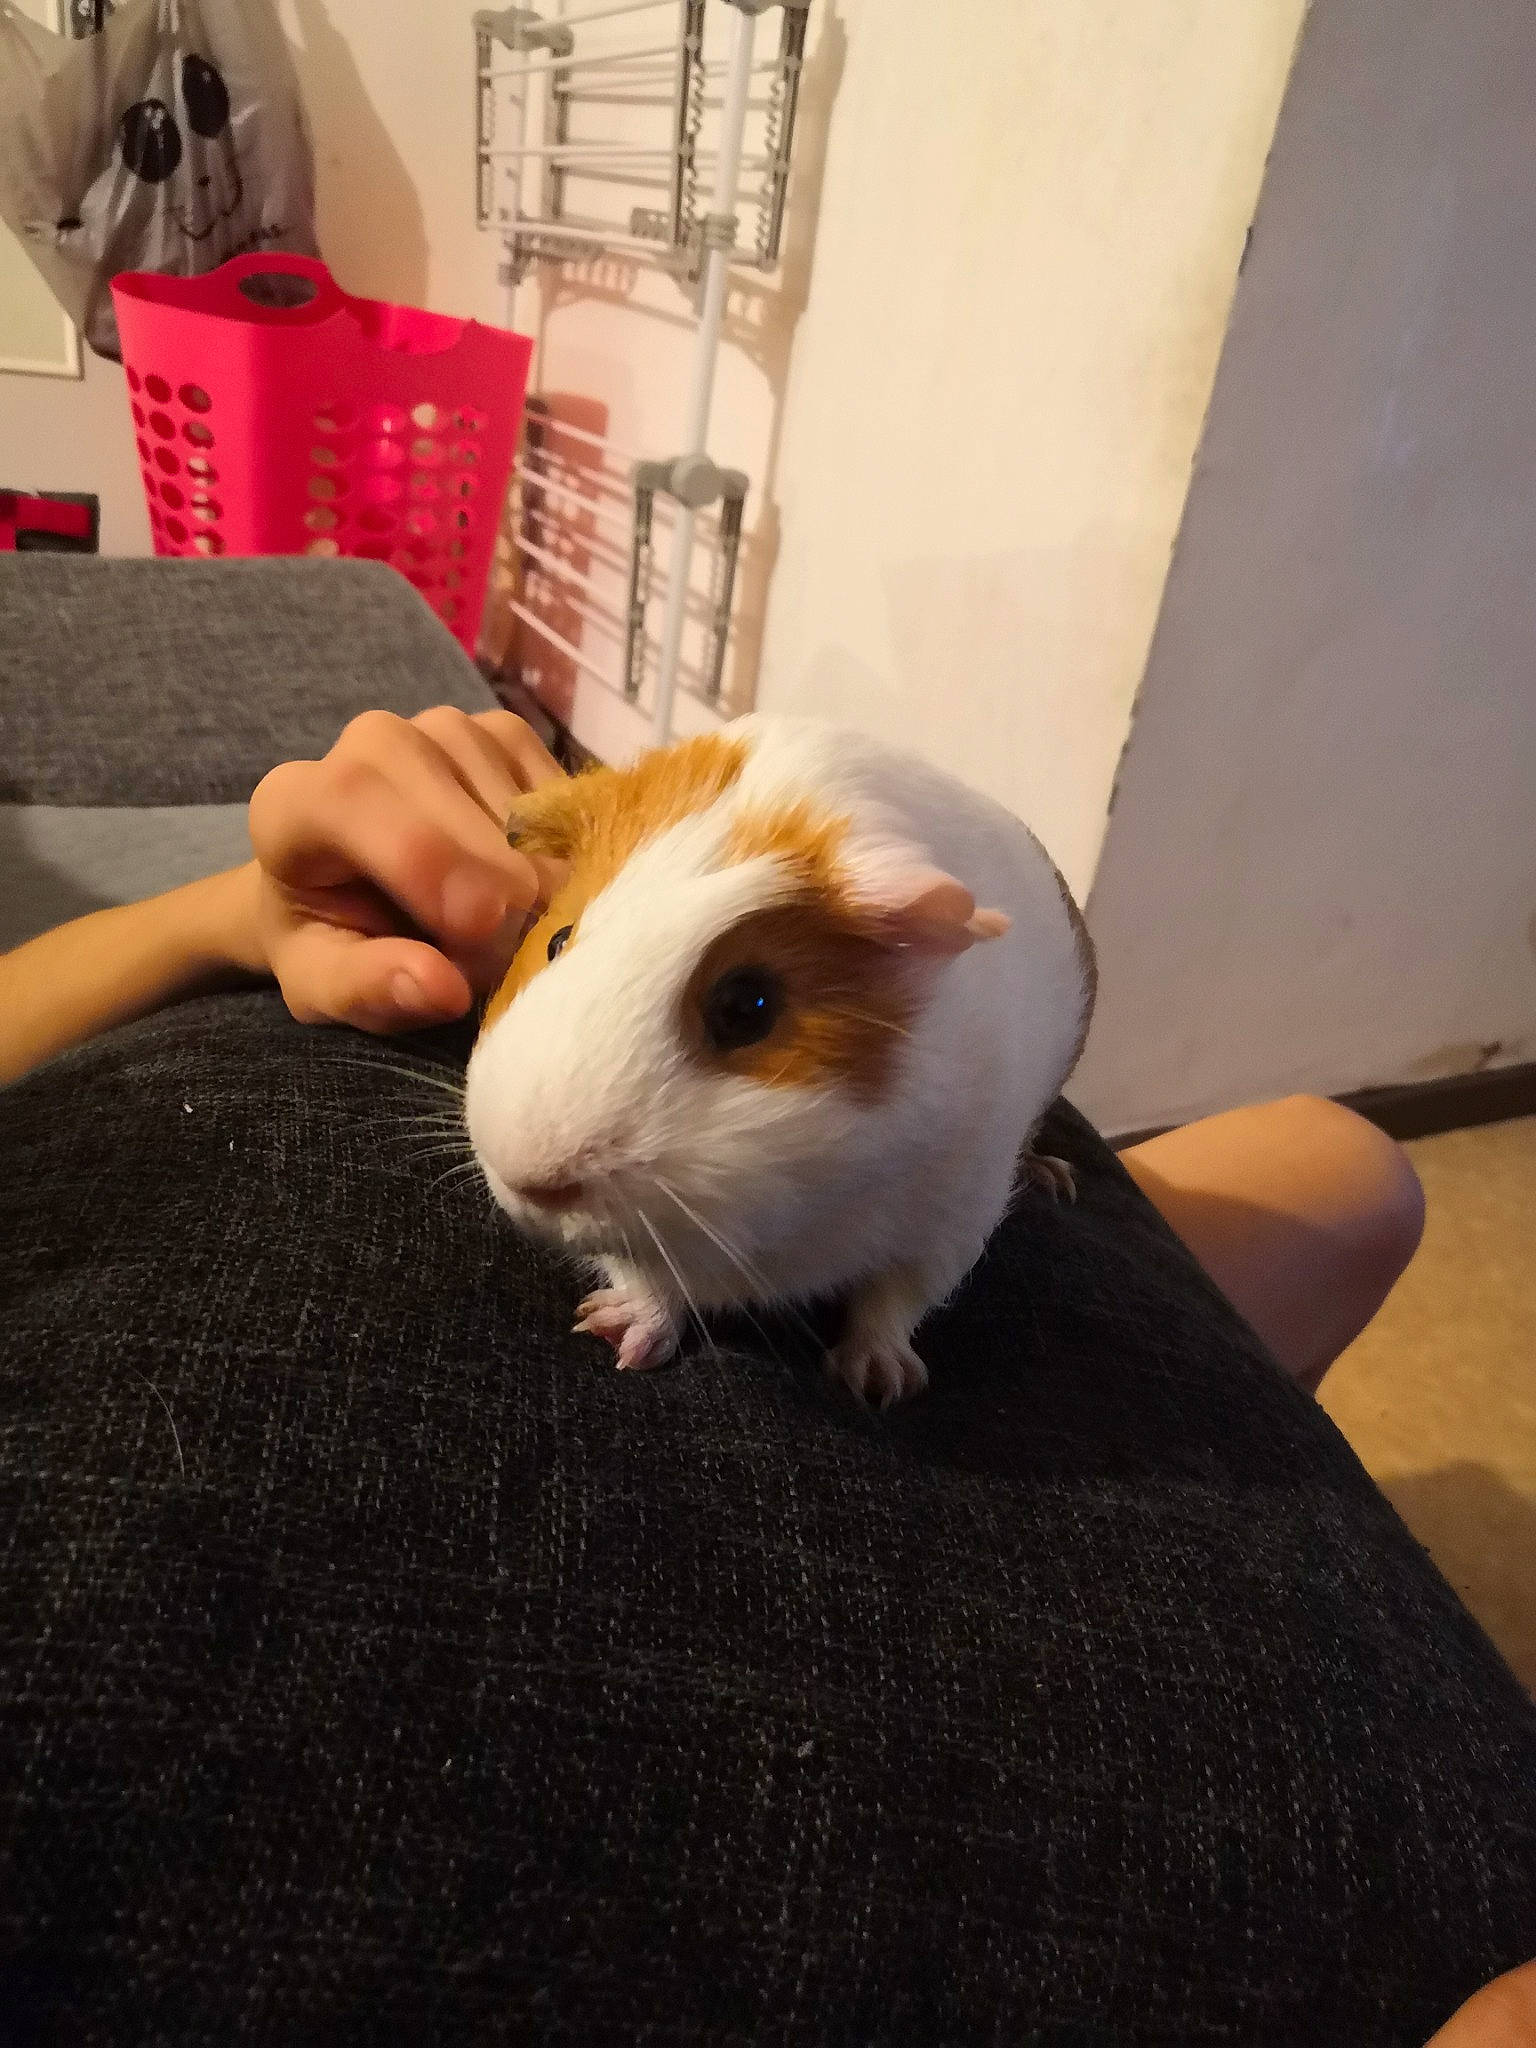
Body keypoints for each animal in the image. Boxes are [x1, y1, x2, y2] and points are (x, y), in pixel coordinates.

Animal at [463, 716, 1096, 1407]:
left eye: (747, 1005)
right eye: (556, 940)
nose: (528, 1181)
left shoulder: (953, 1218)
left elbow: (894, 1300)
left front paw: (878, 1385)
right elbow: (648, 1282)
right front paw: (615, 1335)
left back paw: (1054, 1178)